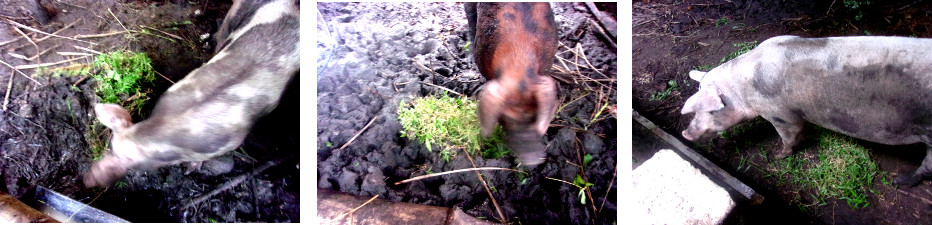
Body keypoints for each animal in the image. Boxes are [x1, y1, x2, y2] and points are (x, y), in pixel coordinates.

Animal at [680, 35, 932, 186]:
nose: (685, 134)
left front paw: (777, 156)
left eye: (711, 111)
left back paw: (899, 182)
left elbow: (790, 135)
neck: (743, 91)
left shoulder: (781, 114)